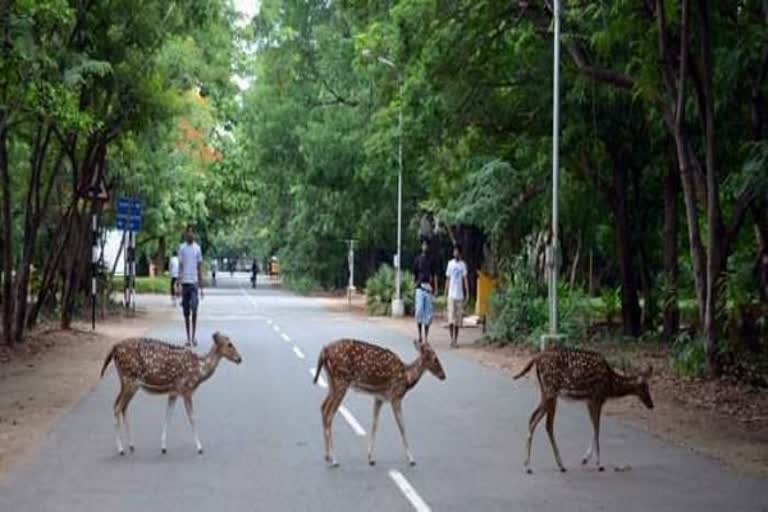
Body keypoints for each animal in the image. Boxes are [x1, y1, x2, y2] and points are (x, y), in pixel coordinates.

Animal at [100, 332, 243, 456]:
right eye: (229, 344)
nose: (240, 359)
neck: (199, 370)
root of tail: (114, 348)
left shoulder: (174, 392)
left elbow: (168, 415)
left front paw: (163, 447)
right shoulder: (186, 389)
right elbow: (192, 417)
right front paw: (199, 447)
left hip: (129, 383)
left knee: (121, 406)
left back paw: (131, 445)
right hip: (129, 379)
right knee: (117, 407)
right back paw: (121, 449)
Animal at [310, 338, 444, 466]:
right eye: (435, 359)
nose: (443, 375)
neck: (406, 378)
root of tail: (324, 351)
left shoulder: (379, 397)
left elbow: (374, 424)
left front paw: (370, 458)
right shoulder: (395, 396)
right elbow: (402, 426)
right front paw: (411, 459)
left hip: (332, 382)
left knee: (323, 407)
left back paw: (327, 455)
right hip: (341, 381)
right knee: (329, 414)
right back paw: (335, 459)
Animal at [516, 346, 656, 474]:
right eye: (645, 387)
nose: (651, 404)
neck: (611, 386)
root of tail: (537, 358)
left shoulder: (589, 401)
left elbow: (594, 427)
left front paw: (586, 459)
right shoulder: (597, 398)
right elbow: (597, 429)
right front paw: (598, 463)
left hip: (546, 392)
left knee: (538, 420)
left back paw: (544, 465)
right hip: (550, 390)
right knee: (541, 422)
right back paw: (535, 466)